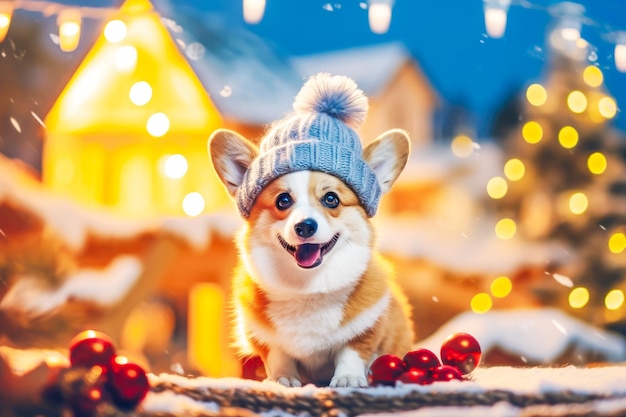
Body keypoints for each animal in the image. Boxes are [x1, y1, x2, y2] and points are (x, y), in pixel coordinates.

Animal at [210, 72, 412, 386]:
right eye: (283, 200)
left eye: (331, 199)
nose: (305, 226)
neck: (308, 289)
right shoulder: (263, 338)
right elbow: (278, 355)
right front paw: (282, 378)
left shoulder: (369, 327)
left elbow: (352, 351)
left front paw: (348, 379)